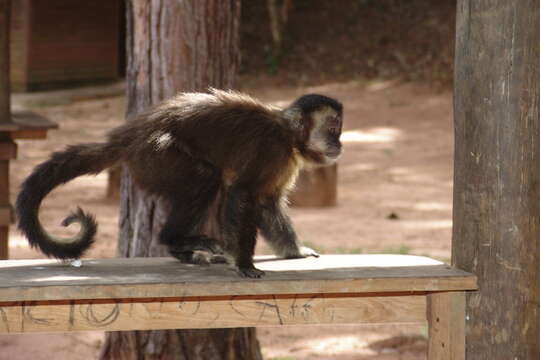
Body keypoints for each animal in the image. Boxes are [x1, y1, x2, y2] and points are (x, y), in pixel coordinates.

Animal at [19, 88, 346, 278]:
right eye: (332, 129)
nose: (339, 143)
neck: (288, 136)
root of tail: (129, 136)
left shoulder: (282, 161)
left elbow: (267, 203)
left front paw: (295, 251)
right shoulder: (271, 150)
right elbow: (241, 193)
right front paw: (243, 263)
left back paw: (183, 251)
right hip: (155, 155)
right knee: (207, 178)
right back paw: (174, 238)